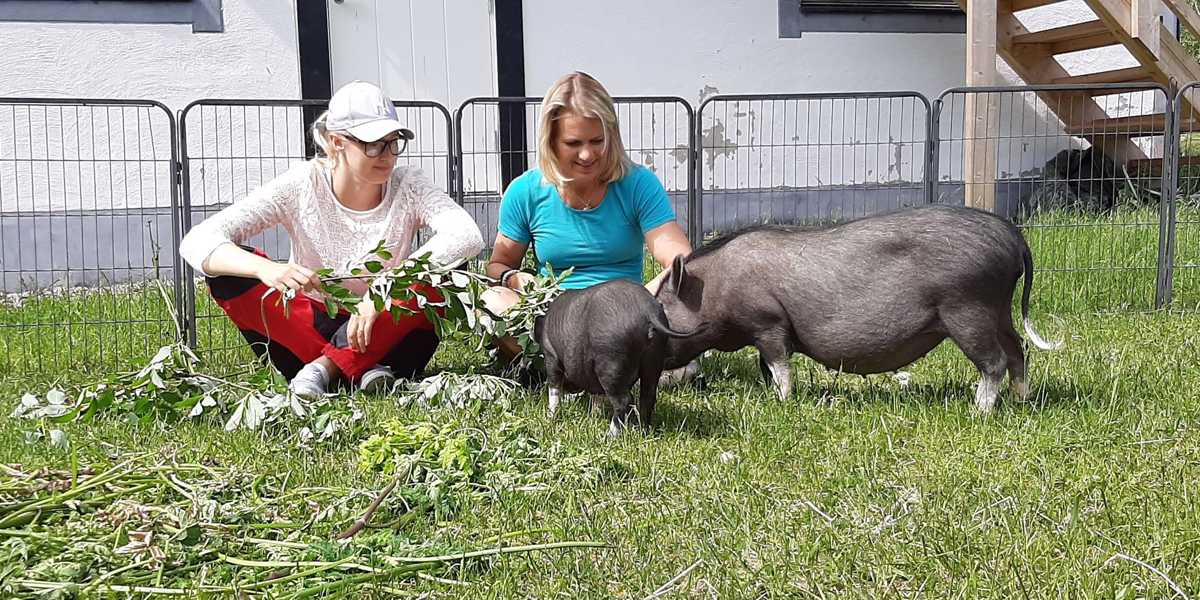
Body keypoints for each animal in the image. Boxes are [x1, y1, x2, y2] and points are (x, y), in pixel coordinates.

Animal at [657, 205, 1060, 412]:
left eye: (661, 306)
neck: (716, 286)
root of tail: (1012, 236)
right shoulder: (767, 331)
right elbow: (767, 367)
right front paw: (772, 394)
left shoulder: (768, 323)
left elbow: (779, 366)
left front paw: (782, 402)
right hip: (999, 309)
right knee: (1019, 350)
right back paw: (1022, 400)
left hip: (968, 308)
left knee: (995, 361)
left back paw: (980, 409)